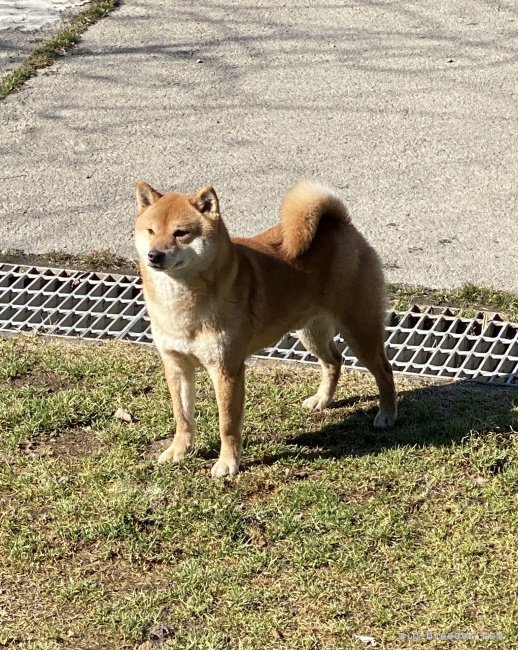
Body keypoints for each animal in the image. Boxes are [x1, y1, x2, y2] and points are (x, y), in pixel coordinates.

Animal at [135, 180, 398, 474]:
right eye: (151, 231)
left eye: (181, 233)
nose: (154, 255)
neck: (181, 302)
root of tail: (340, 223)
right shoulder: (176, 365)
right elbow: (182, 417)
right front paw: (179, 450)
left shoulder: (227, 370)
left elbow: (227, 424)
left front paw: (228, 463)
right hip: (312, 332)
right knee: (334, 361)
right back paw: (322, 399)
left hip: (360, 329)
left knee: (384, 370)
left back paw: (387, 414)